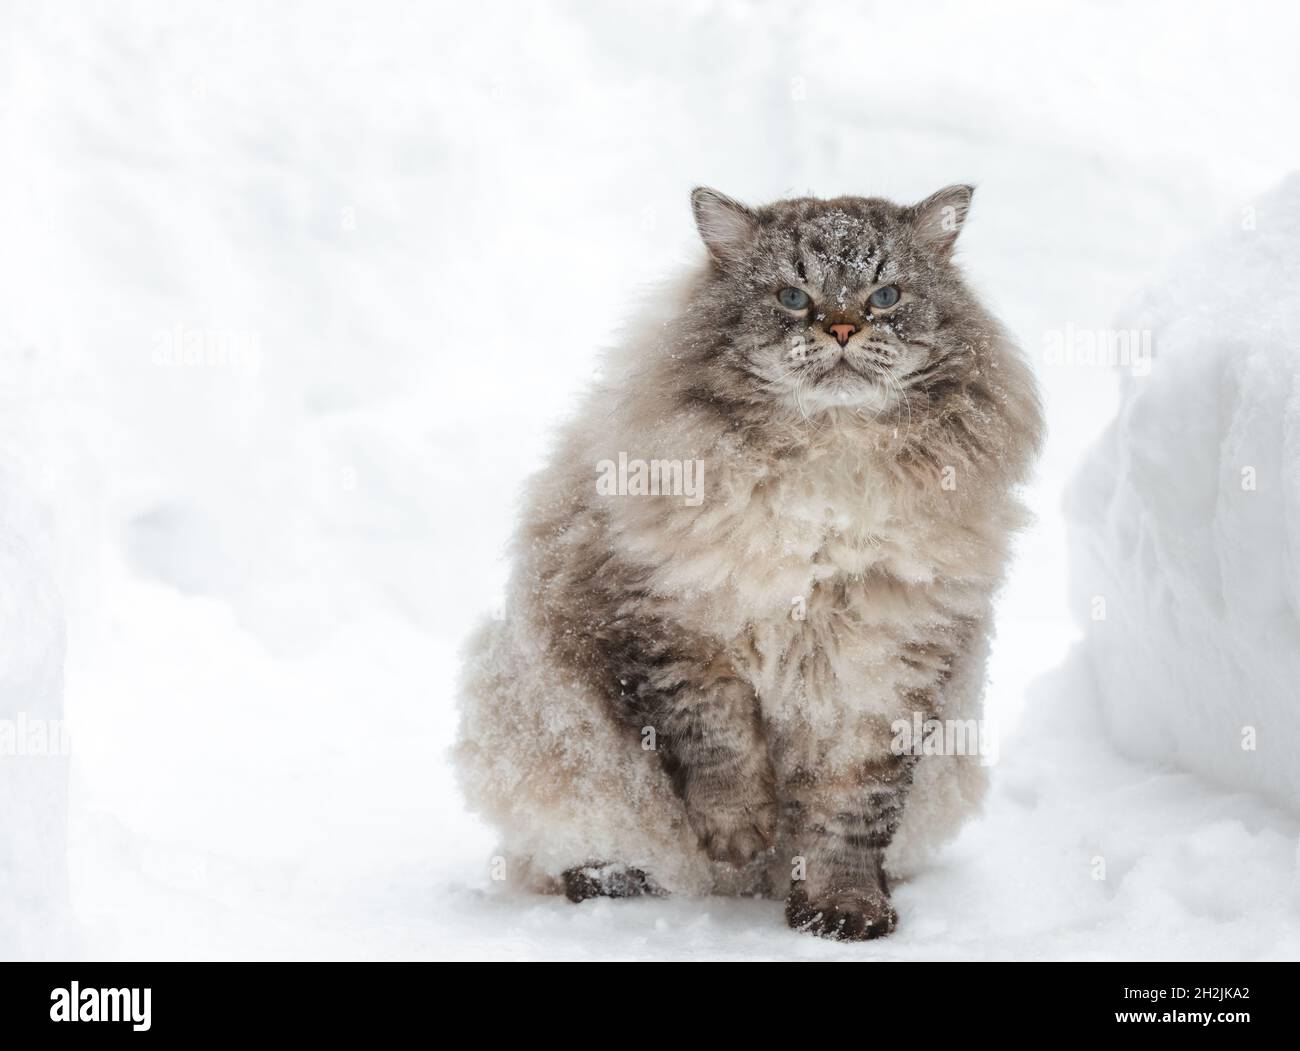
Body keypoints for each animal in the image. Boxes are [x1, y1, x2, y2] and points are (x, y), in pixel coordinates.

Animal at [452, 184, 1040, 941]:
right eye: (793, 297)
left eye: (884, 296)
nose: (842, 329)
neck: (828, 479)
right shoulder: (670, 633)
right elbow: (720, 748)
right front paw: (739, 836)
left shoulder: (885, 675)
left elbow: (853, 816)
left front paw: (842, 911)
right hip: (542, 727)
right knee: (580, 853)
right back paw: (637, 881)